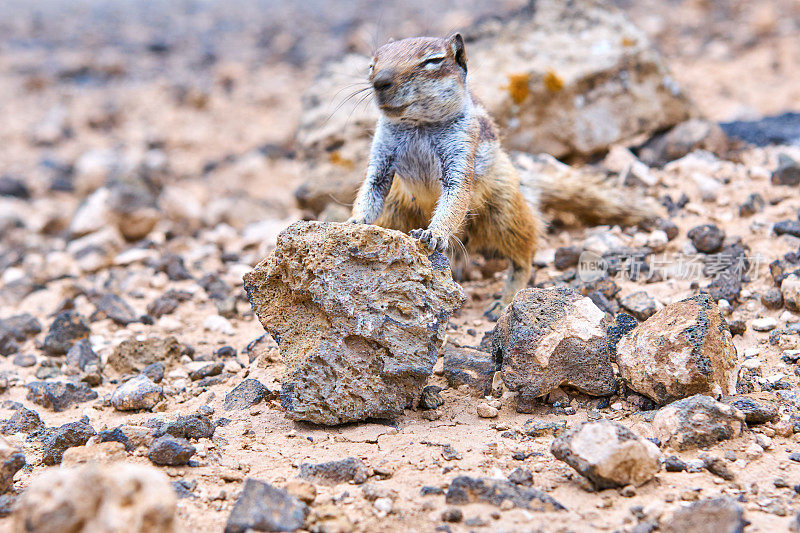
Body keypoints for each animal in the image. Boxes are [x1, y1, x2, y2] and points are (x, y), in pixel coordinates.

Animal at [350, 35, 648, 318]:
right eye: (372, 64)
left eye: (432, 61)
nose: (380, 81)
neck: (418, 126)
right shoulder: (381, 155)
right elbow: (371, 188)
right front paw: (353, 222)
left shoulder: (462, 150)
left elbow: (456, 195)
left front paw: (434, 233)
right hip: (395, 209)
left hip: (505, 213)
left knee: (523, 258)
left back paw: (505, 301)